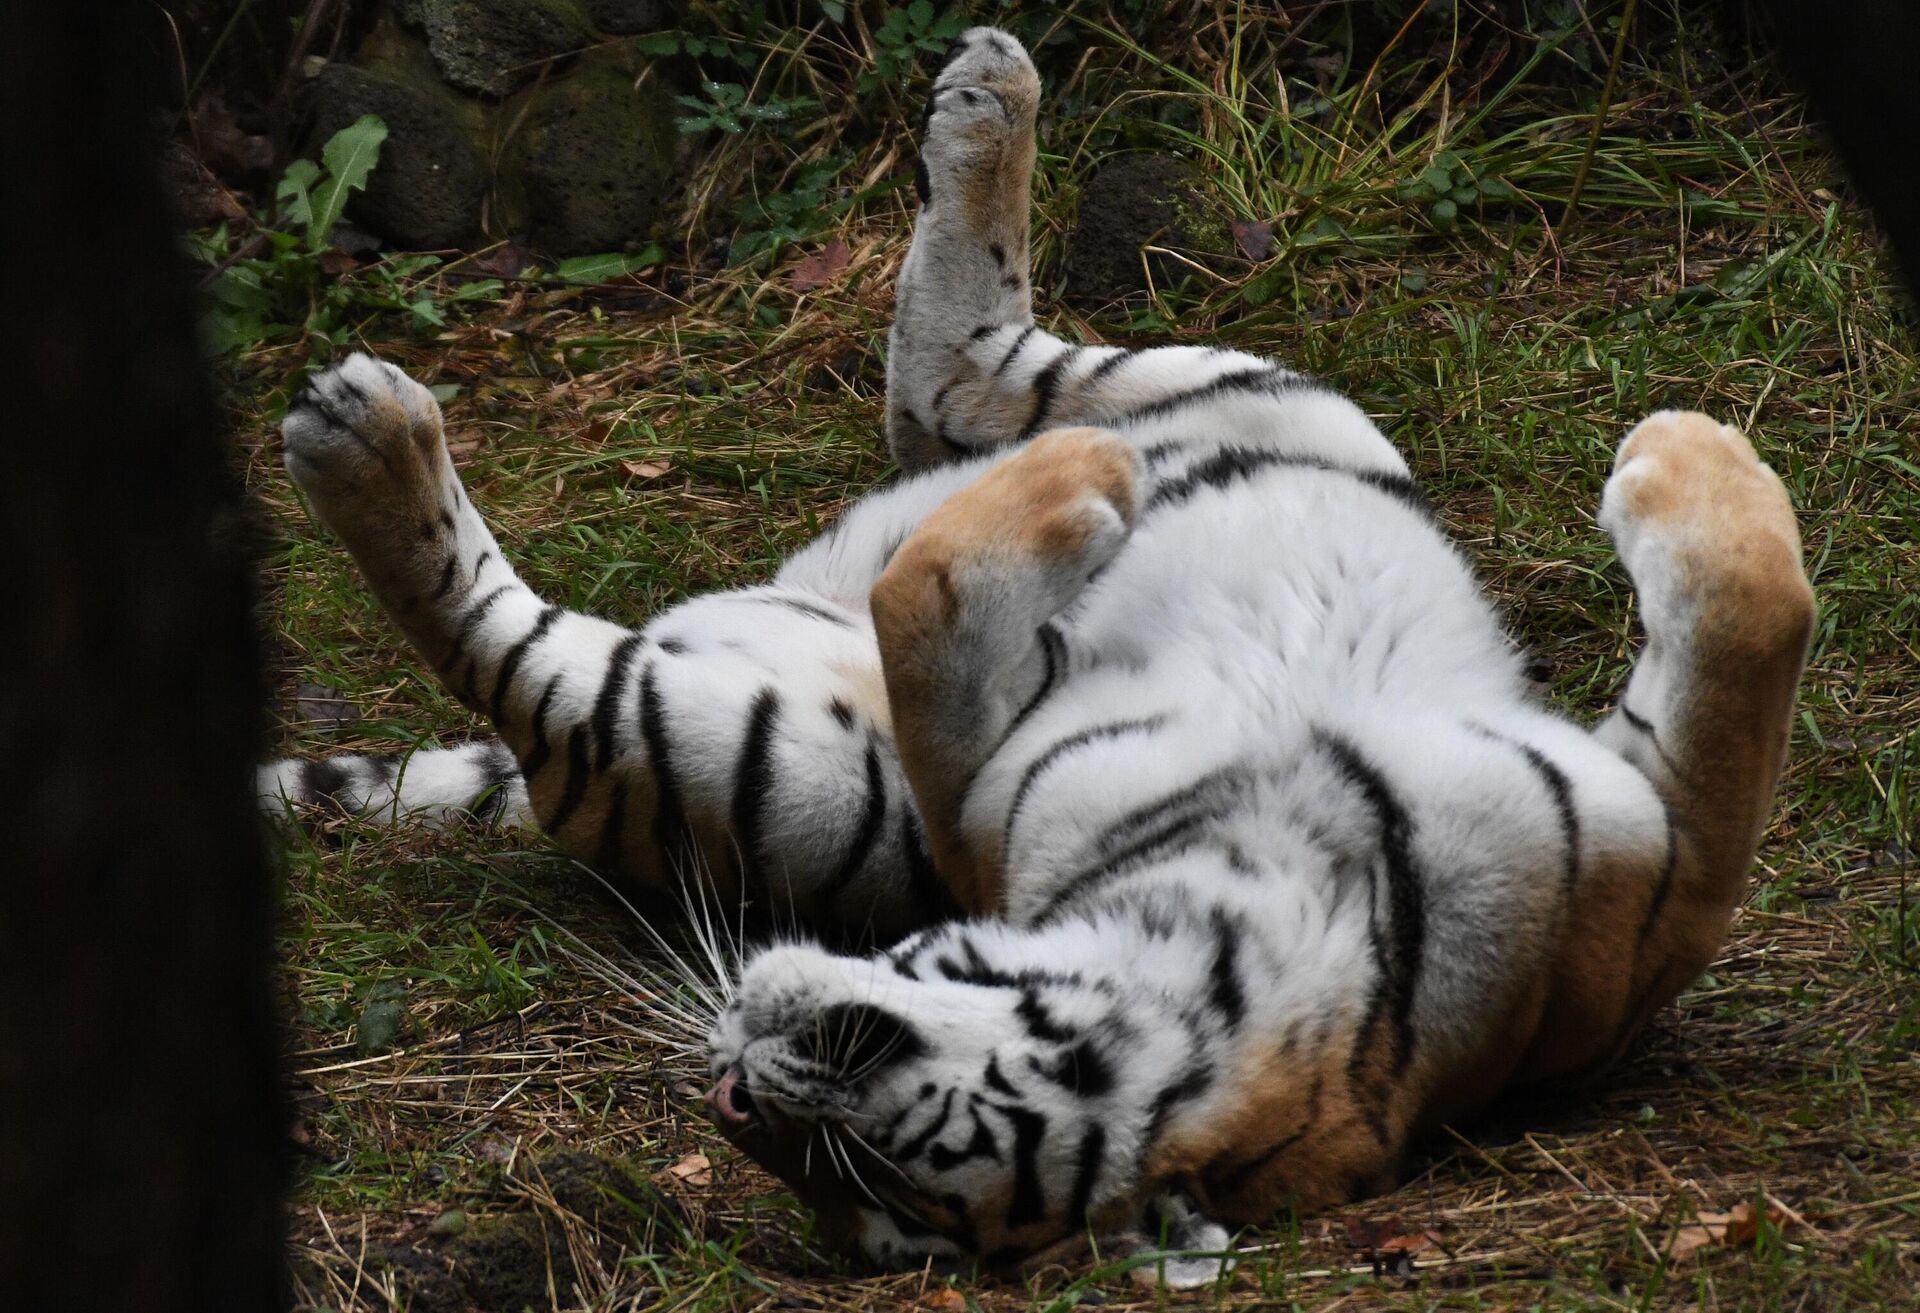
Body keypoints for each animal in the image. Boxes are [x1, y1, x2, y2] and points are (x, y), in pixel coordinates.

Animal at [266, 28, 1812, 1282]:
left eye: (880, 1187)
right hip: (1288, 400)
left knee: (541, 662)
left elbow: (925, 601)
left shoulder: (963, 801)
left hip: (790, 773)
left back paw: (362, 437)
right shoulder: (1652, 847)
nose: (732, 1082)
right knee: (971, 383)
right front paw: (1690, 456)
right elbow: (1755, 634)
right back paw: (994, 121)